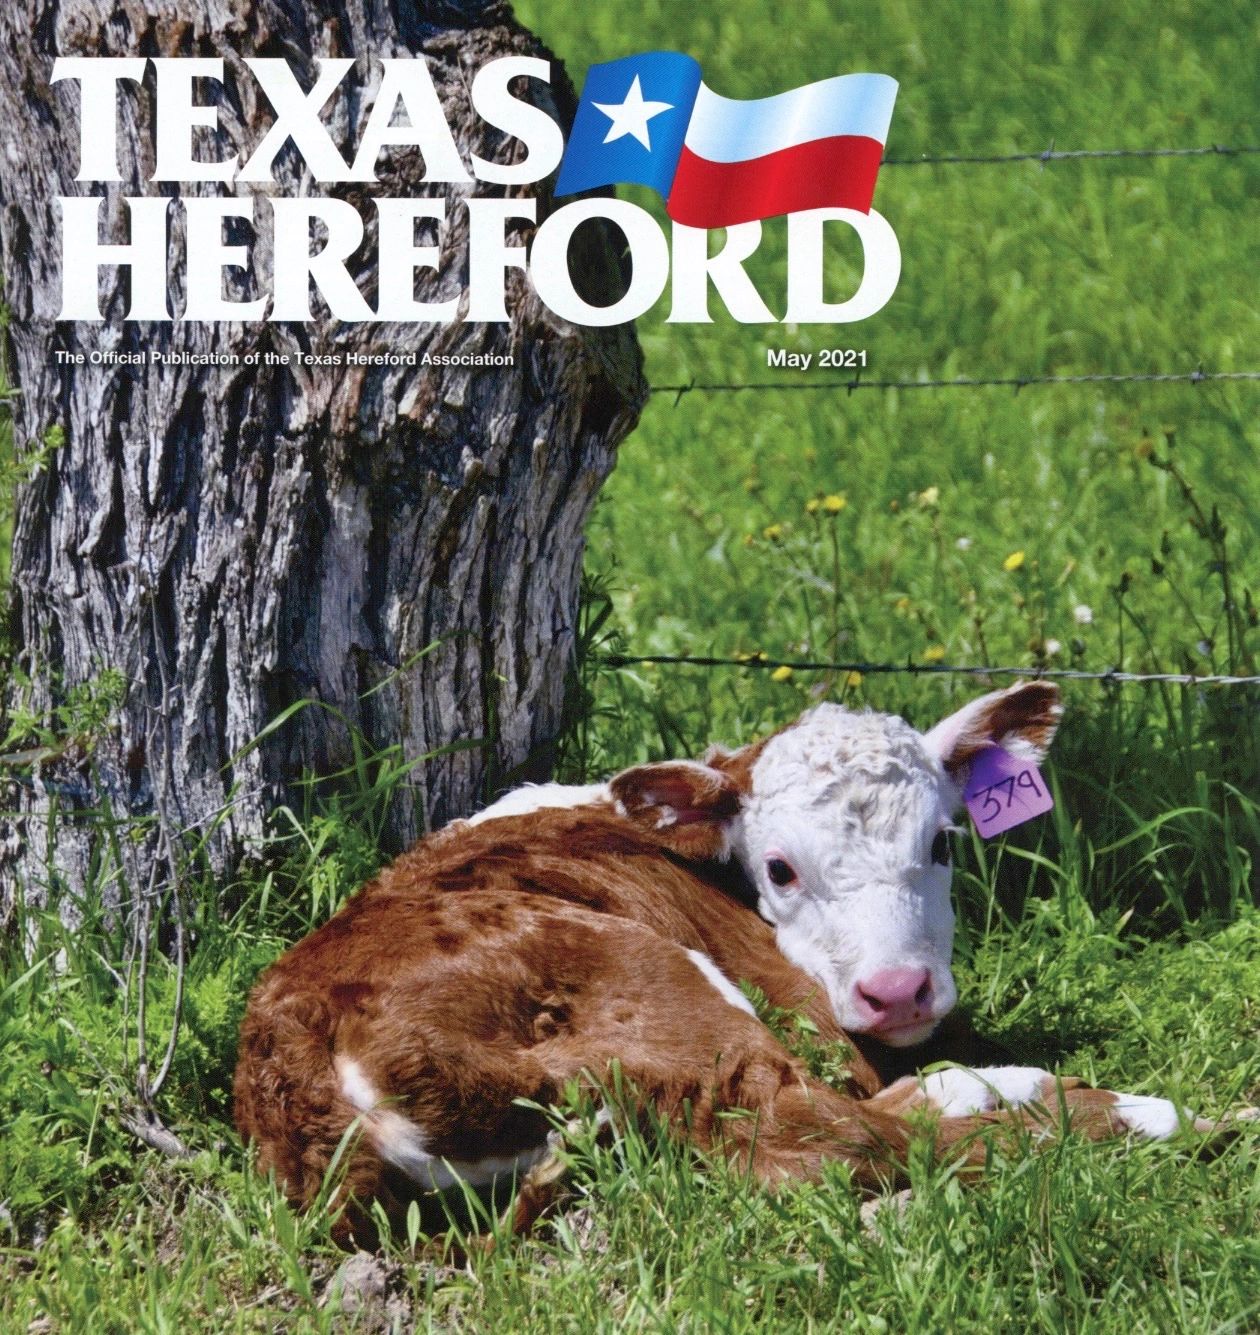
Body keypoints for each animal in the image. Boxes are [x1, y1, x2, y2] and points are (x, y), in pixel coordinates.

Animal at [233, 682, 1238, 1246]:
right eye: (781, 866)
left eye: (944, 841)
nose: (898, 990)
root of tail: (303, 1059)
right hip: (668, 994)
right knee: (839, 1137)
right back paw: (1149, 1113)